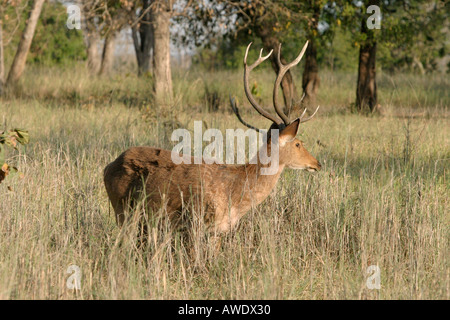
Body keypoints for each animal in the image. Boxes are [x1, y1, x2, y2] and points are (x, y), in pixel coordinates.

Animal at [103, 41, 322, 244]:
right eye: (298, 143)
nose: (317, 163)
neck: (236, 194)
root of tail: (108, 167)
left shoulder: (218, 231)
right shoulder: (198, 223)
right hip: (122, 210)